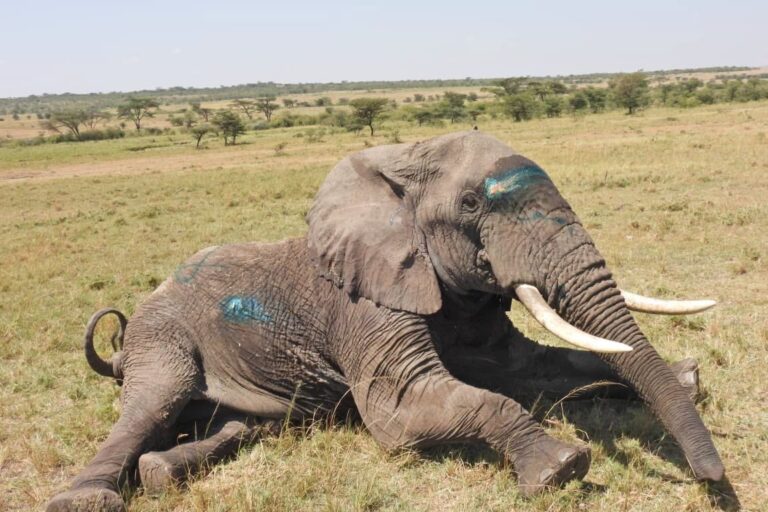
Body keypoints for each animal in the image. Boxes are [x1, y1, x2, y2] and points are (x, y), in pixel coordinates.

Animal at [47, 131, 724, 511]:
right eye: (471, 204)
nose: (714, 481)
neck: (397, 173)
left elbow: (530, 368)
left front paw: (685, 378)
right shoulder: (364, 305)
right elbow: (404, 410)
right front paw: (562, 466)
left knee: (241, 425)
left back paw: (163, 473)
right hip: (163, 335)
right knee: (154, 400)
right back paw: (86, 500)